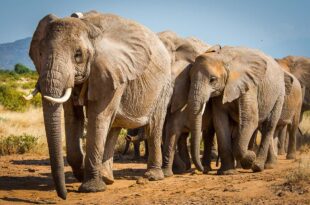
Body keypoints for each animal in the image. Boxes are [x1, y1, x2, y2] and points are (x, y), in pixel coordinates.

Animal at [25, 10, 173, 199]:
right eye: (40, 53)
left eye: (78, 55)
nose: (63, 195)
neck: (88, 27)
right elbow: (73, 117)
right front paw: (81, 173)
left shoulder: (111, 72)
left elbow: (98, 116)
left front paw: (91, 188)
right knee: (114, 126)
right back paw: (107, 178)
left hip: (164, 86)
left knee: (154, 124)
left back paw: (152, 177)